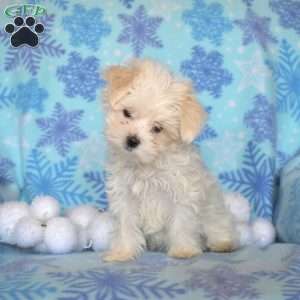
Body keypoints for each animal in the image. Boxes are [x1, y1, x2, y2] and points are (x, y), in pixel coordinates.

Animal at [101, 59, 237, 262]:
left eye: (157, 128)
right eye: (127, 113)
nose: (132, 140)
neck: (148, 164)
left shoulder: (183, 194)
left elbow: (182, 223)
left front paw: (183, 250)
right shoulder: (124, 196)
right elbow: (125, 225)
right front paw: (123, 252)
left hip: (215, 211)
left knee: (219, 225)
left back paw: (223, 244)